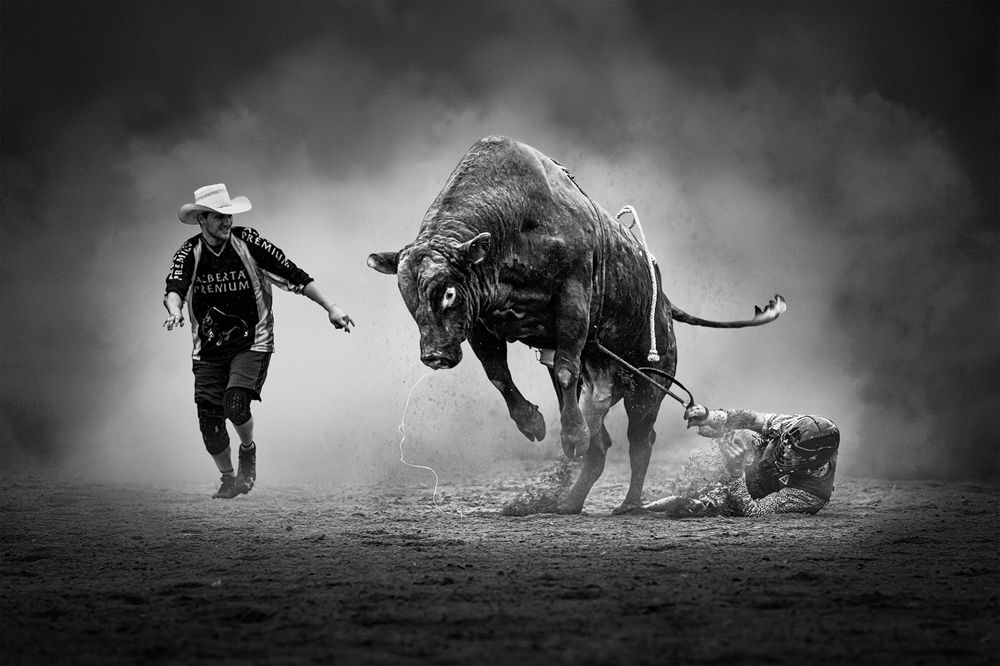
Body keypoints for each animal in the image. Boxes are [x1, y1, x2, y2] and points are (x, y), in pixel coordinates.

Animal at [368, 136, 785, 515]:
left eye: (449, 292)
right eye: (407, 294)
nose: (435, 356)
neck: (515, 224)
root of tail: (666, 306)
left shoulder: (572, 296)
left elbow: (566, 370)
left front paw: (570, 436)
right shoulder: (481, 321)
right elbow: (498, 375)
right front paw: (532, 423)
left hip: (650, 385)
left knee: (640, 441)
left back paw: (628, 503)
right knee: (601, 446)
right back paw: (569, 502)